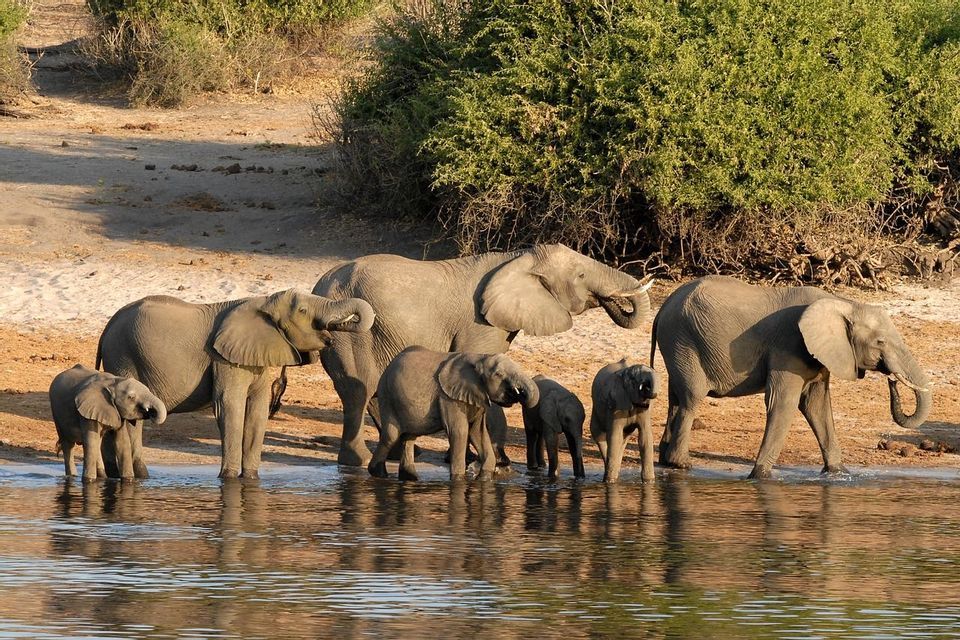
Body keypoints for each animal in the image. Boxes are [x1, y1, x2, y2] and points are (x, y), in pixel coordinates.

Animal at [96, 289, 375, 479]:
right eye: (303, 311)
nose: (337, 329)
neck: (263, 301)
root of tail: (107, 326)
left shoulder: (255, 357)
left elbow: (257, 411)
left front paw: (250, 479)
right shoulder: (224, 359)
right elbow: (229, 407)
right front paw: (228, 480)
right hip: (122, 355)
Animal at [293, 243, 652, 466]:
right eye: (580, 276)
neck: (517, 257)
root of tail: (319, 286)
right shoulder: (480, 324)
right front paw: (486, 460)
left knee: (372, 391)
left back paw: (406, 453)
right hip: (349, 335)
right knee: (358, 389)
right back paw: (359, 461)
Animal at [368, 347, 540, 481]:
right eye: (498, 374)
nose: (519, 393)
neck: (480, 358)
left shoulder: (477, 397)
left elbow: (478, 433)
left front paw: (484, 478)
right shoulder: (448, 397)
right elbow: (460, 432)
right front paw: (458, 481)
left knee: (408, 437)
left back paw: (410, 478)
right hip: (387, 396)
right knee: (391, 436)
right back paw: (378, 474)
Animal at [652, 275, 932, 479]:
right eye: (880, 342)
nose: (892, 380)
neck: (843, 303)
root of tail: (663, 306)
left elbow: (817, 406)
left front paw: (839, 473)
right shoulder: (788, 345)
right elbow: (783, 403)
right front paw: (759, 477)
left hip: (678, 344)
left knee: (675, 399)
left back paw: (666, 461)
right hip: (683, 341)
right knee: (691, 398)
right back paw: (682, 464)